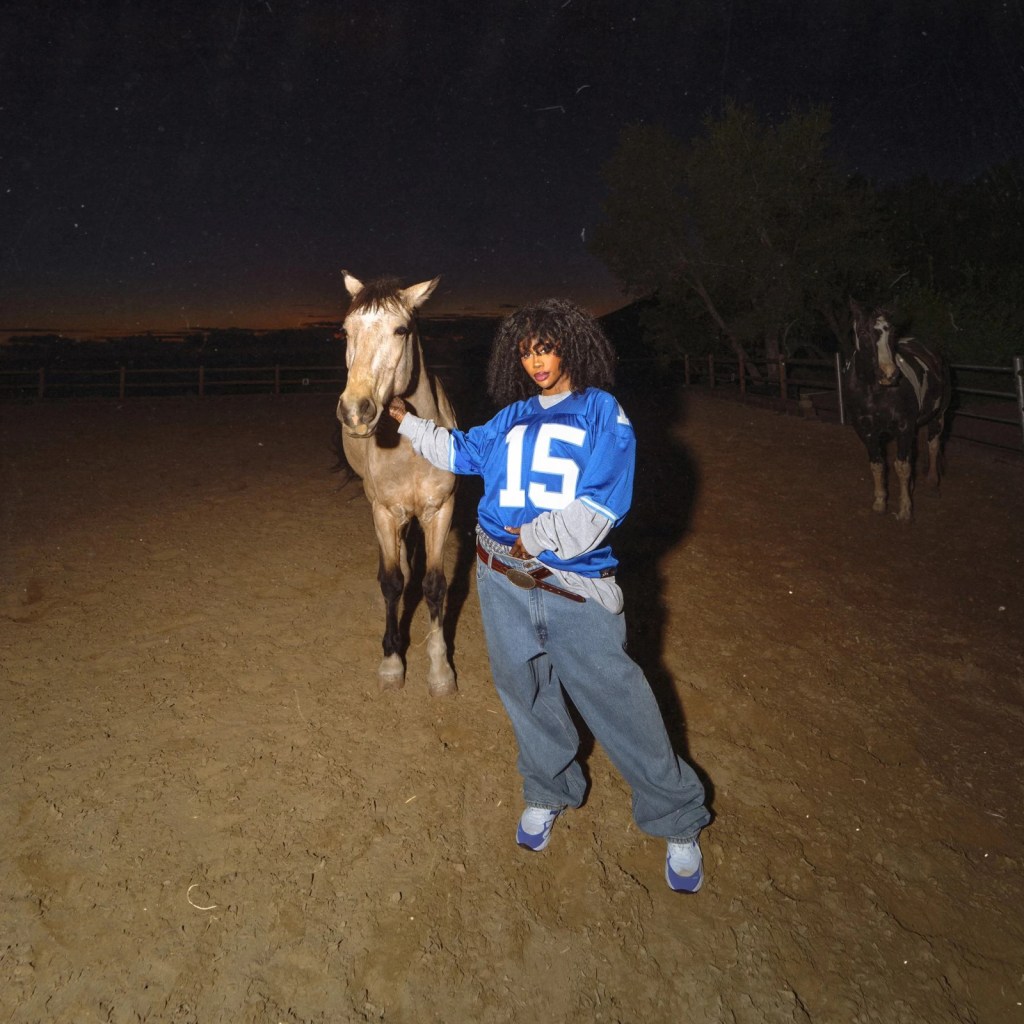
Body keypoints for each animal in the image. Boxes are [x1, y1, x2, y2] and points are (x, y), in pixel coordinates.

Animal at [335, 272, 458, 695]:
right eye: (345, 331)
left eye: (401, 329)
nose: (356, 411)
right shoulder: (385, 512)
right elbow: (392, 582)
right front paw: (392, 661)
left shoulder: (440, 511)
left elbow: (436, 585)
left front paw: (440, 669)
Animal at [843, 299, 951, 521]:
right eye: (864, 332)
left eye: (892, 332)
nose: (889, 374)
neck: (873, 392)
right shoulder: (866, 431)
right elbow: (878, 464)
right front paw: (879, 501)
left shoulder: (904, 427)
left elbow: (901, 466)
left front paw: (905, 508)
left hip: (939, 417)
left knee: (933, 445)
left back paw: (932, 482)